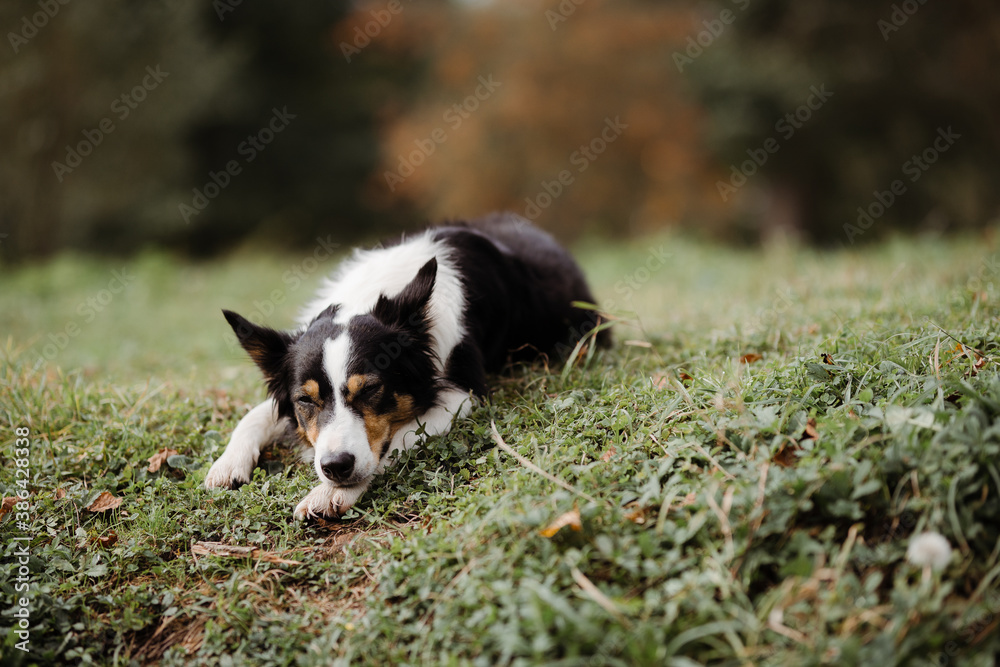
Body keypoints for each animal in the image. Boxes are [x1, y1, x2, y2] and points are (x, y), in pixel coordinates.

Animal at [204, 211, 608, 520]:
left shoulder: (463, 394)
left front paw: (330, 493)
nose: (335, 467)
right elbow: (256, 413)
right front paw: (227, 463)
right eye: (305, 400)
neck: (368, 296)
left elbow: (398, 440)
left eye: (370, 389)